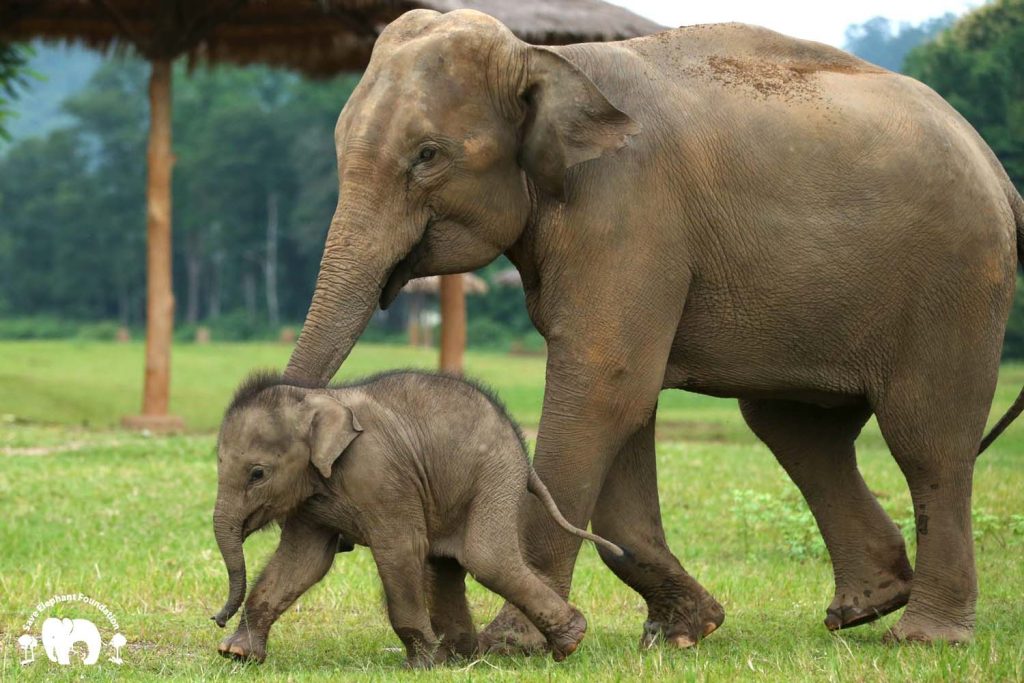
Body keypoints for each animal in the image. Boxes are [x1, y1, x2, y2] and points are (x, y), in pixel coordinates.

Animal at [211, 368, 618, 667]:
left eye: (257, 474)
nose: (216, 618)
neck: (315, 397)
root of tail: (521, 450)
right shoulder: (312, 498)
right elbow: (302, 562)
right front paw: (236, 654)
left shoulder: (380, 474)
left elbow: (400, 550)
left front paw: (419, 666)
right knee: (446, 563)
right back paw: (458, 658)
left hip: (495, 477)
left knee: (485, 558)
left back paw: (570, 641)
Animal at [284, 12, 1024, 651]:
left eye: (427, 155)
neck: (546, 61)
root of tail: (998, 171)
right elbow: (626, 403)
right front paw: (685, 631)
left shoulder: (626, 210)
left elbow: (604, 386)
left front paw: (514, 644)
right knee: (796, 429)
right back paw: (866, 605)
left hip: (956, 279)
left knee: (927, 440)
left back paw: (924, 635)